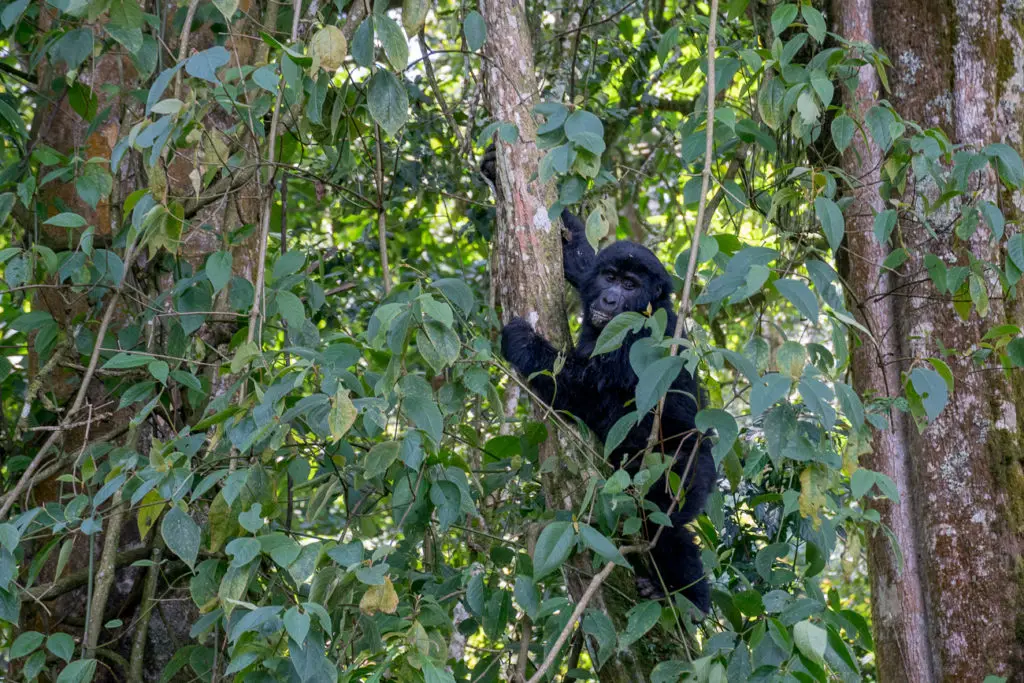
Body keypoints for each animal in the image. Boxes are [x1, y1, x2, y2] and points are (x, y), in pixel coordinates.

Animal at [481, 145, 716, 614]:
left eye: (629, 285)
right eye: (610, 278)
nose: (609, 298)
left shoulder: (638, 340)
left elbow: (581, 390)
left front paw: (520, 340)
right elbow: (577, 260)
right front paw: (496, 168)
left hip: (688, 468)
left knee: (662, 523)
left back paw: (687, 598)